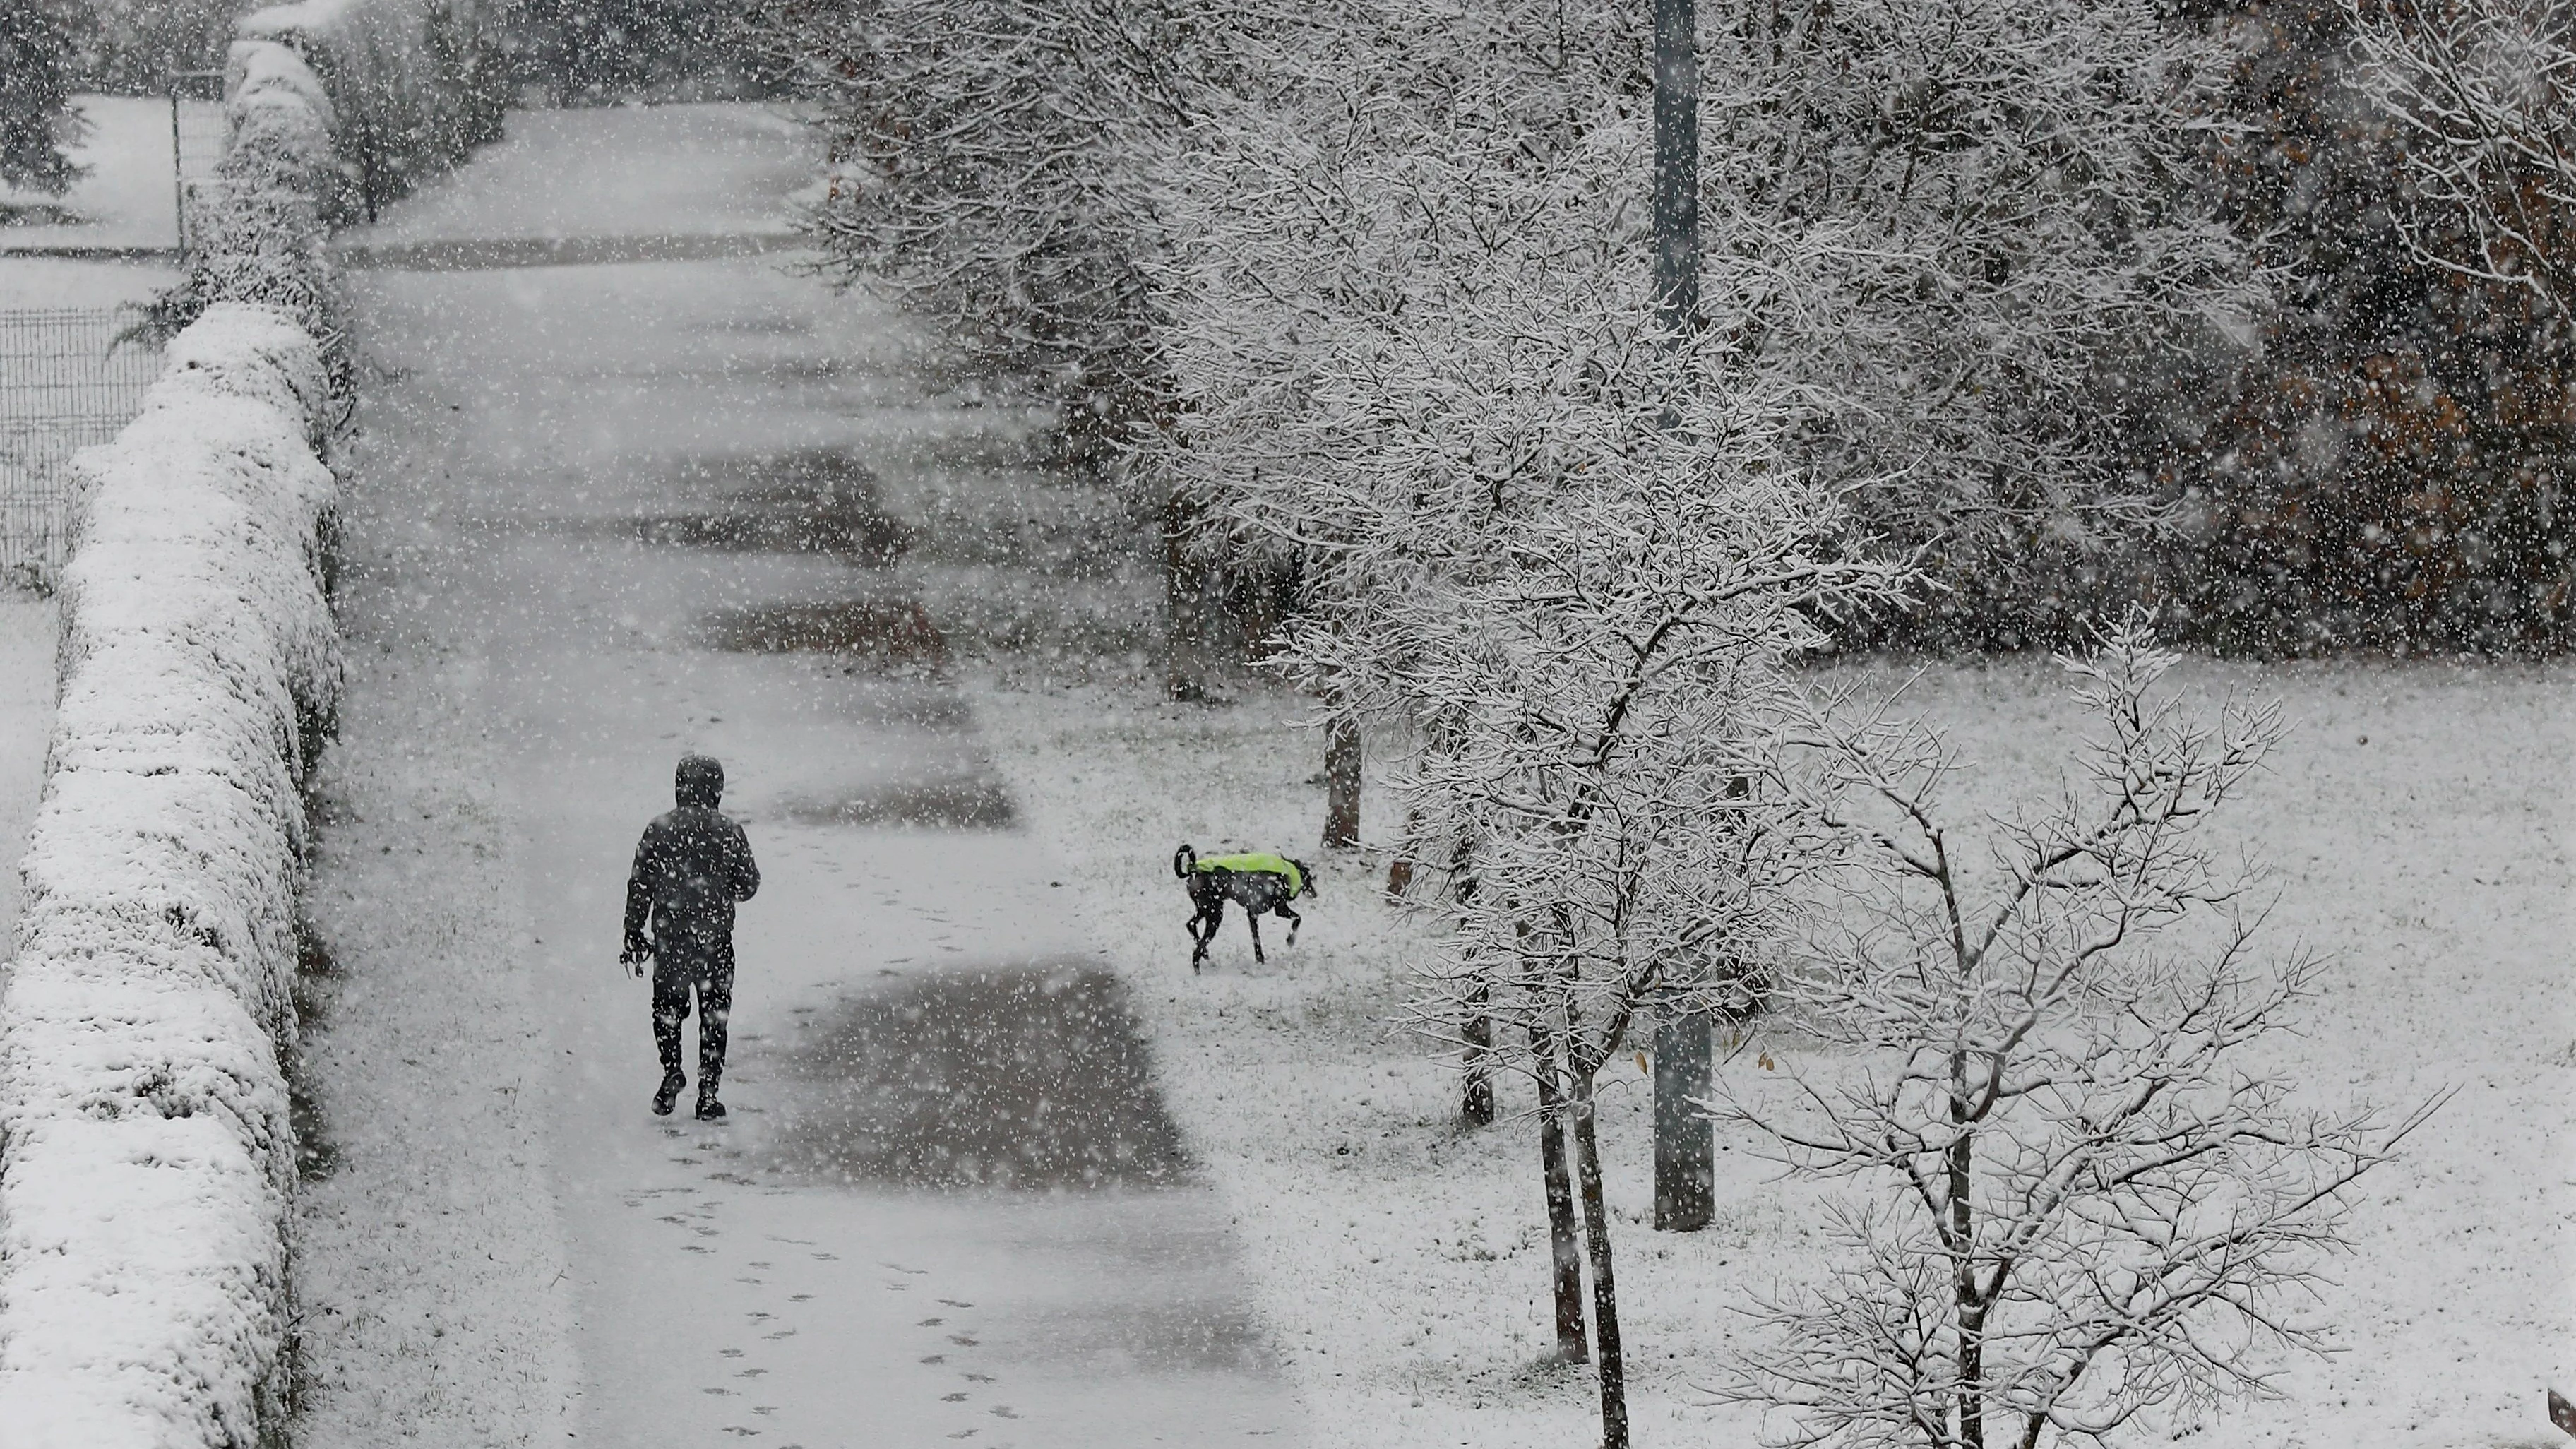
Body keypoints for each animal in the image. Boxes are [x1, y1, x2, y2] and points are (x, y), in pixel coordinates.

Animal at [1179, 840, 1318, 964]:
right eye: (1309, 879)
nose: (1315, 894)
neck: (1284, 874)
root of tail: (1193, 871)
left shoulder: (1273, 911)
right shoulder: (1257, 913)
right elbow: (1295, 920)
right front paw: (1289, 940)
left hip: (1206, 909)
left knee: (1191, 925)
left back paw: (1205, 953)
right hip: (1215, 915)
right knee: (1196, 951)